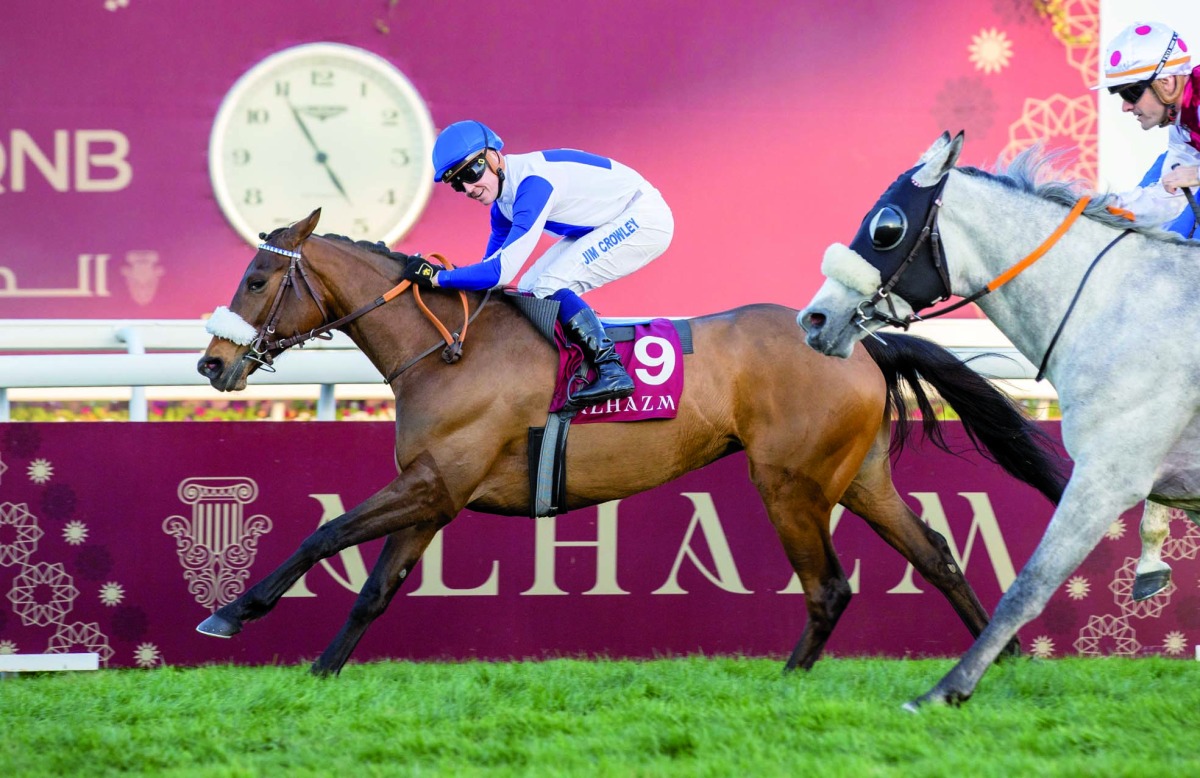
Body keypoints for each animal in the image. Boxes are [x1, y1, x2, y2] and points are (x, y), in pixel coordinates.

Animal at [196, 210, 1070, 677]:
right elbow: (374, 589)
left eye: (256, 279)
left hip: (790, 482)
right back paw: (997, 660)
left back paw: (786, 684)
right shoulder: (434, 492)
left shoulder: (436, 481)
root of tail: (859, 343)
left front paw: (234, 613)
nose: (210, 363)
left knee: (829, 586)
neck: (449, 348)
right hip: (861, 477)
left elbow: (326, 533)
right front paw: (320, 674)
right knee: (937, 555)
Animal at [796, 132, 1200, 705]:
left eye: (886, 227)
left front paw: (945, 690)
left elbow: (1029, 584)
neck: (1120, 307)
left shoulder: (1106, 477)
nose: (814, 319)